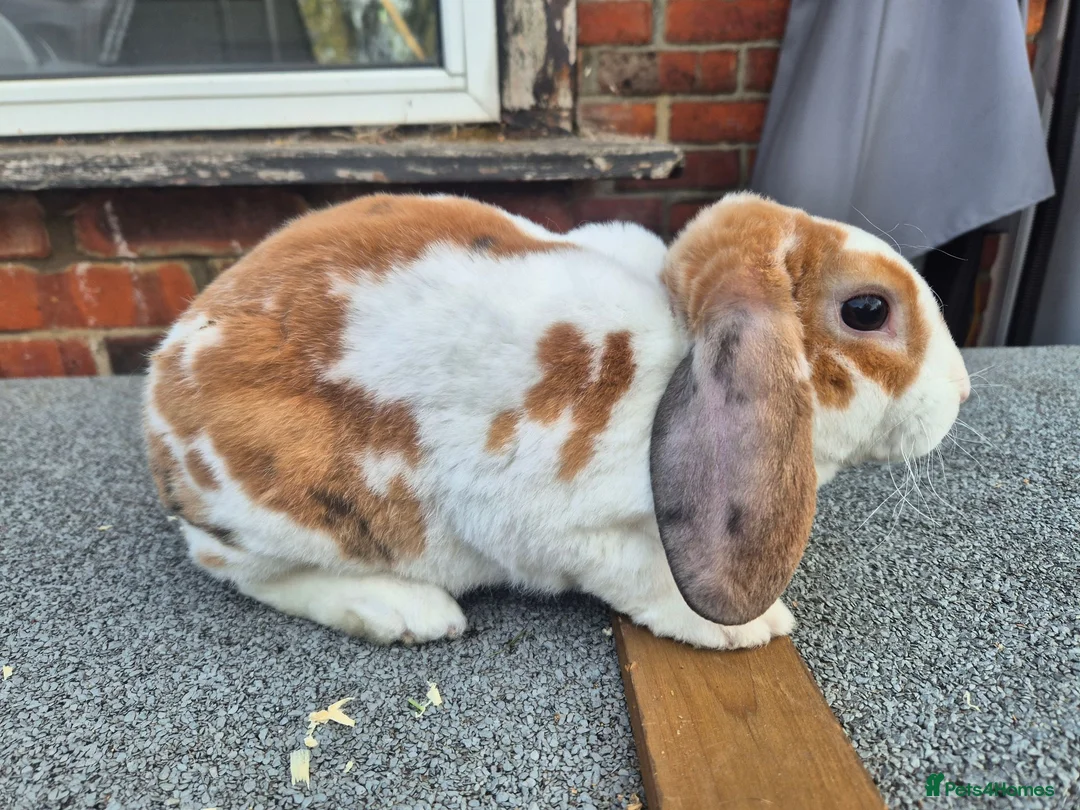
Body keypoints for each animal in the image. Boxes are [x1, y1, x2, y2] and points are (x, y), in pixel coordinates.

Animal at [144, 191, 970, 649]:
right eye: (867, 310)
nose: (962, 390)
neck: (677, 346)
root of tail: (161, 390)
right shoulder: (563, 530)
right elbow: (645, 579)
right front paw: (746, 628)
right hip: (291, 509)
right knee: (239, 569)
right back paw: (405, 612)